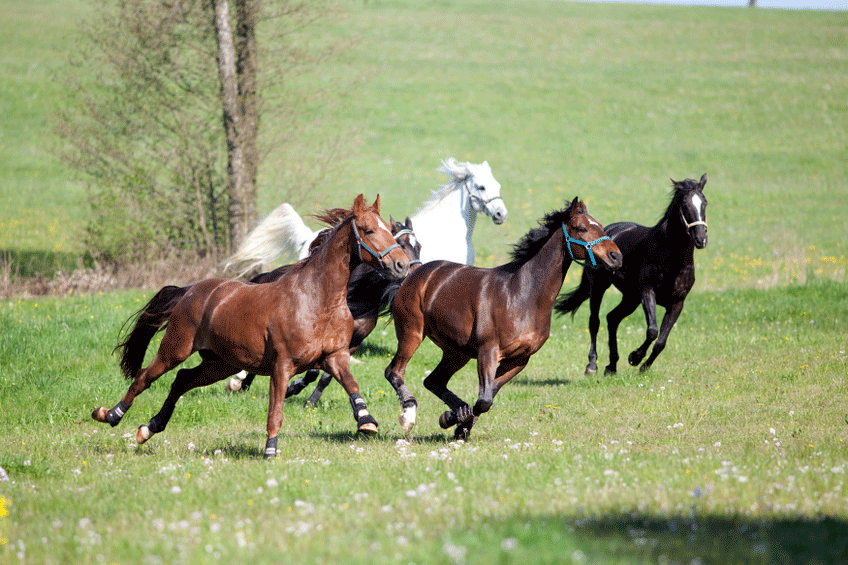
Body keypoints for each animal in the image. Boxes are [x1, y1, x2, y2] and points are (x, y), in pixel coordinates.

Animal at [227, 214, 422, 404]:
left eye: (419, 246)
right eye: (401, 244)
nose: (414, 272)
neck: (356, 297)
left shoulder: (351, 343)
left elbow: (325, 376)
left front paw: (308, 399)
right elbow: (313, 371)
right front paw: (293, 389)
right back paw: (240, 384)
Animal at [380, 198, 620, 440]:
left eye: (600, 225)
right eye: (582, 228)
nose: (616, 256)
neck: (522, 295)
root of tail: (413, 276)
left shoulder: (519, 360)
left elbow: (487, 397)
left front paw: (457, 422)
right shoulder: (488, 352)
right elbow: (484, 400)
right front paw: (452, 419)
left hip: (457, 353)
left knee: (433, 381)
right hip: (412, 333)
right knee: (394, 372)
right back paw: (408, 416)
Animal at [556, 172, 708, 374]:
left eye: (704, 203)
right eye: (684, 205)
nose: (701, 239)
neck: (672, 260)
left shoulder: (677, 303)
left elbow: (661, 341)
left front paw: (643, 366)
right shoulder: (647, 292)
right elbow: (652, 330)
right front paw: (635, 357)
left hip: (630, 298)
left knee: (612, 318)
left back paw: (611, 366)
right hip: (599, 287)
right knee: (595, 321)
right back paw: (592, 365)